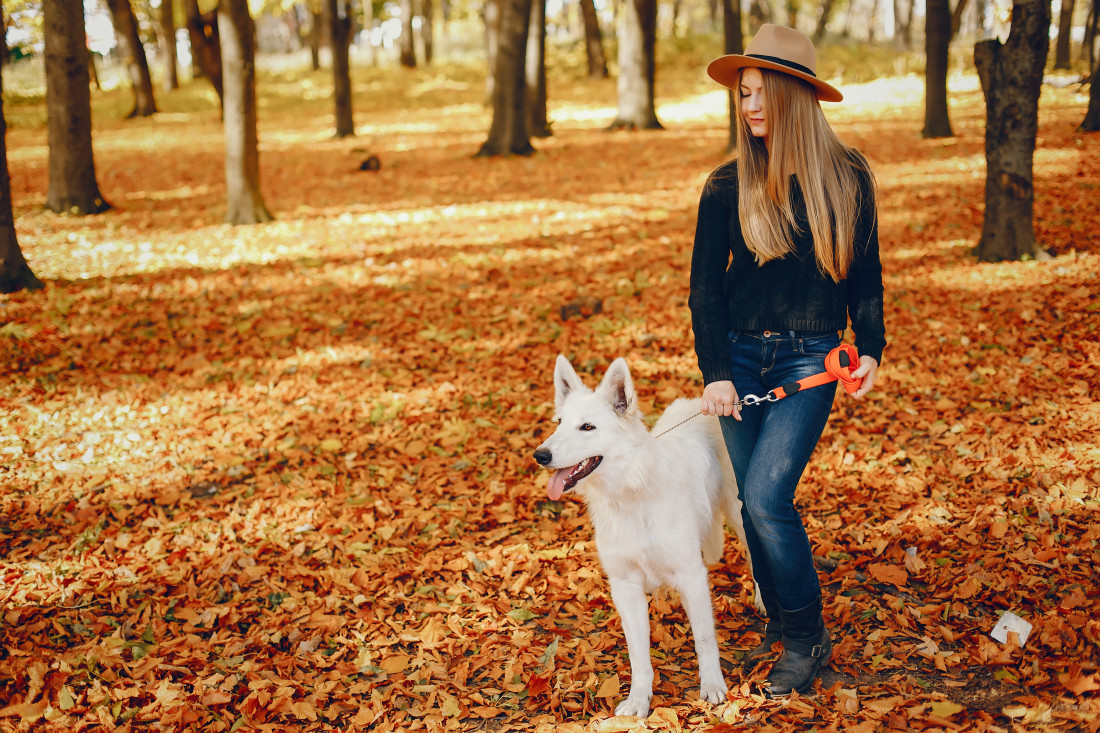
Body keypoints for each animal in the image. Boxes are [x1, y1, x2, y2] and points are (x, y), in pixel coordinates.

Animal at [532, 354, 756, 713]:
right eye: (559, 422)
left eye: (587, 427)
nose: (540, 455)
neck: (631, 494)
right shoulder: (625, 588)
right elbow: (638, 654)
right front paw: (638, 701)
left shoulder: (692, 575)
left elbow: (705, 639)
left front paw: (713, 686)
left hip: (740, 513)